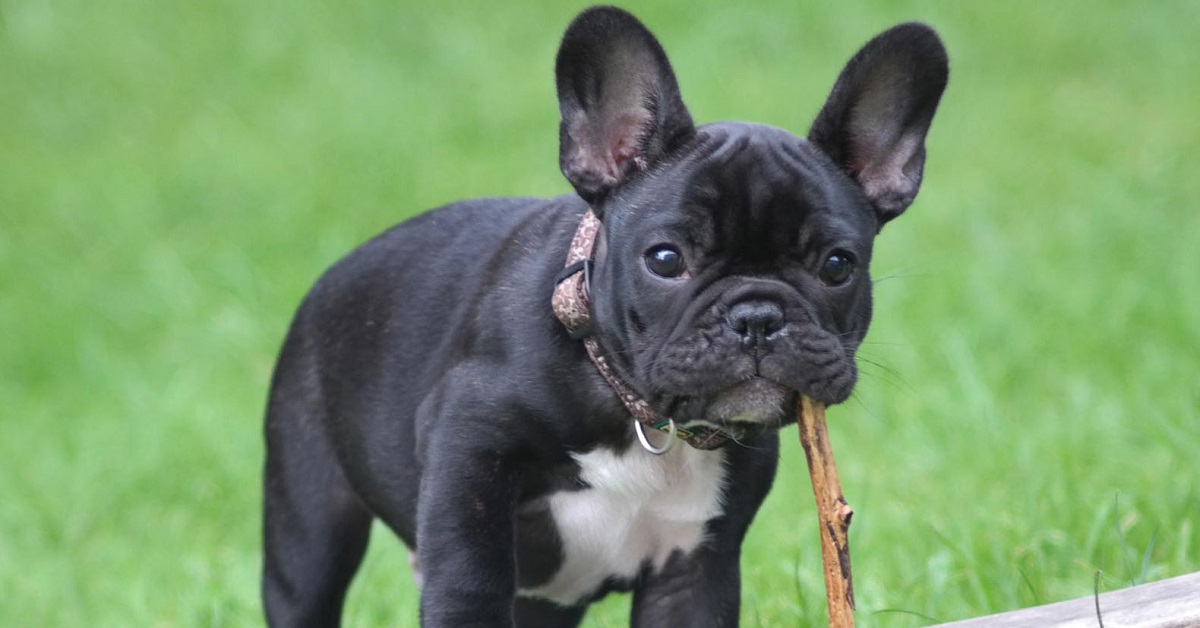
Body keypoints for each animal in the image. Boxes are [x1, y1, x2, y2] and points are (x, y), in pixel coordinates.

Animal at [262, 6, 945, 628]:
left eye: (837, 265)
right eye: (665, 259)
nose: (757, 315)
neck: (635, 411)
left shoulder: (694, 569)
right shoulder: (468, 454)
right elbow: (468, 582)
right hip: (310, 527)